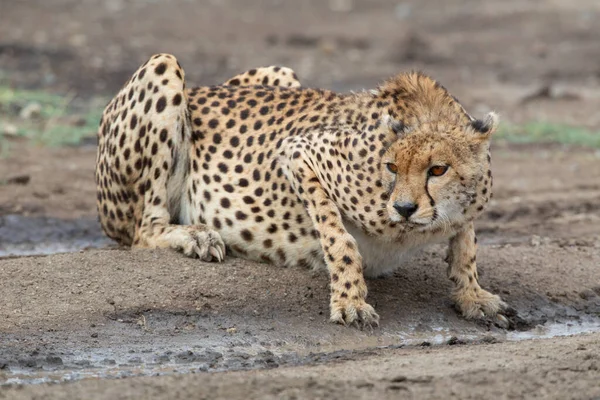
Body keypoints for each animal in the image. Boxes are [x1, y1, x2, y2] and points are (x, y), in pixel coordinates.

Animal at [96, 53, 508, 328]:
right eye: (391, 167)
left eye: (438, 169)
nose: (404, 208)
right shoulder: (300, 151)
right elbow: (339, 238)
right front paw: (350, 300)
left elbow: (466, 244)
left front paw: (472, 294)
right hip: (163, 67)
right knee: (143, 230)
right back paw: (195, 235)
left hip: (280, 71)